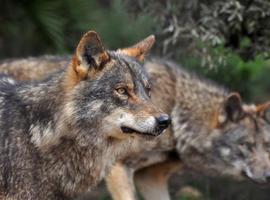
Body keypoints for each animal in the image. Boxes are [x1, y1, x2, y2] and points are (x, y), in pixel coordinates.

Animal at [0, 56, 270, 200]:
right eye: (245, 145)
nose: (268, 175)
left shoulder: (151, 178)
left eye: (267, 146)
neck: (176, 107)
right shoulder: (120, 169)